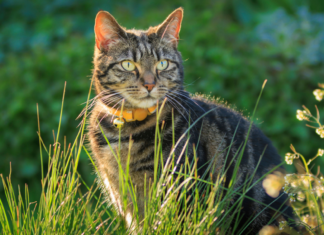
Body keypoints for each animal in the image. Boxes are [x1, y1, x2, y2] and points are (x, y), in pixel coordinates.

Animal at [86, 6, 296, 233]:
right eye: (127, 64)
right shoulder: (121, 196)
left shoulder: (179, 193)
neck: (127, 130)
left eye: (163, 64)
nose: (150, 84)